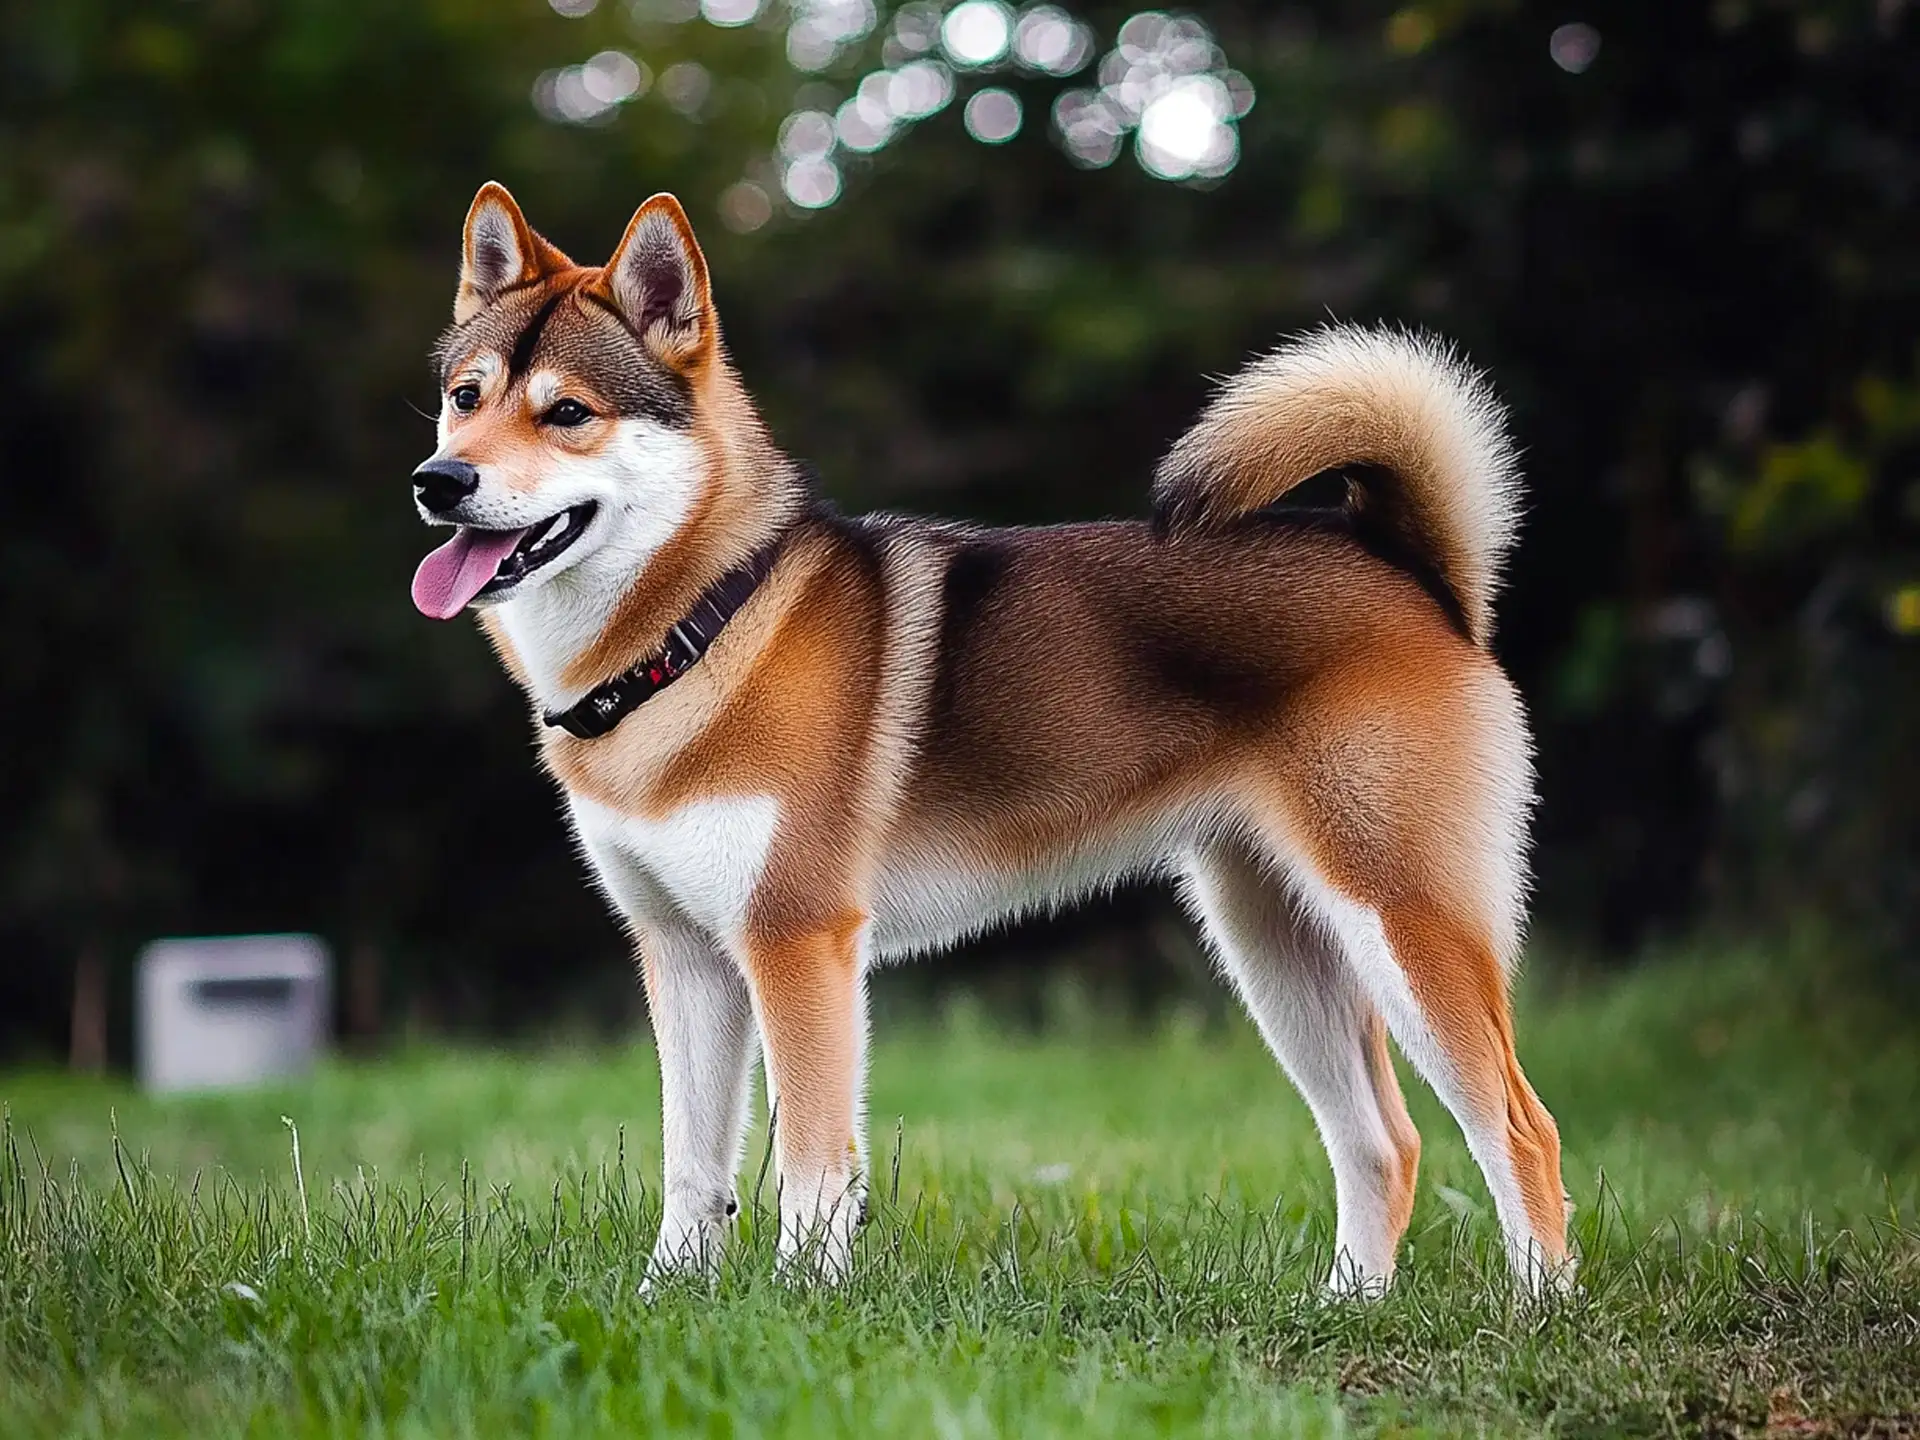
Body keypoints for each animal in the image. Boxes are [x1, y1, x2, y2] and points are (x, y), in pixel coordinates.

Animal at [412, 180, 1566, 1297]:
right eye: (465, 398)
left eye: (568, 412)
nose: (439, 482)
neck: (699, 627)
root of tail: (1415, 574)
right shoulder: (685, 955)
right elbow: (693, 1168)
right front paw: (666, 1303)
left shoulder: (798, 943)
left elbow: (814, 1166)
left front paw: (801, 1306)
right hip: (1276, 945)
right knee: (1385, 1143)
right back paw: (1345, 1306)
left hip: (1405, 923)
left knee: (1520, 1128)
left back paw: (1537, 1315)